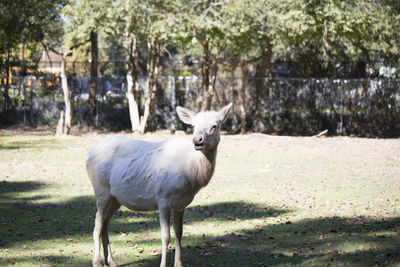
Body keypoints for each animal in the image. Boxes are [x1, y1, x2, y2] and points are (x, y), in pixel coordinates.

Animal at [86, 103, 233, 267]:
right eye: (193, 126)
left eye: (215, 125)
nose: (197, 140)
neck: (190, 173)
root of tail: (88, 154)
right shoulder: (163, 198)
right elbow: (165, 236)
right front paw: (163, 264)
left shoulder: (181, 204)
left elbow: (179, 233)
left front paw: (179, 264)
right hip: (101, 189)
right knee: (97, 223)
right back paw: (97, 261)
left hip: (116, 198)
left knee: (105, 223)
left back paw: (111, 261)